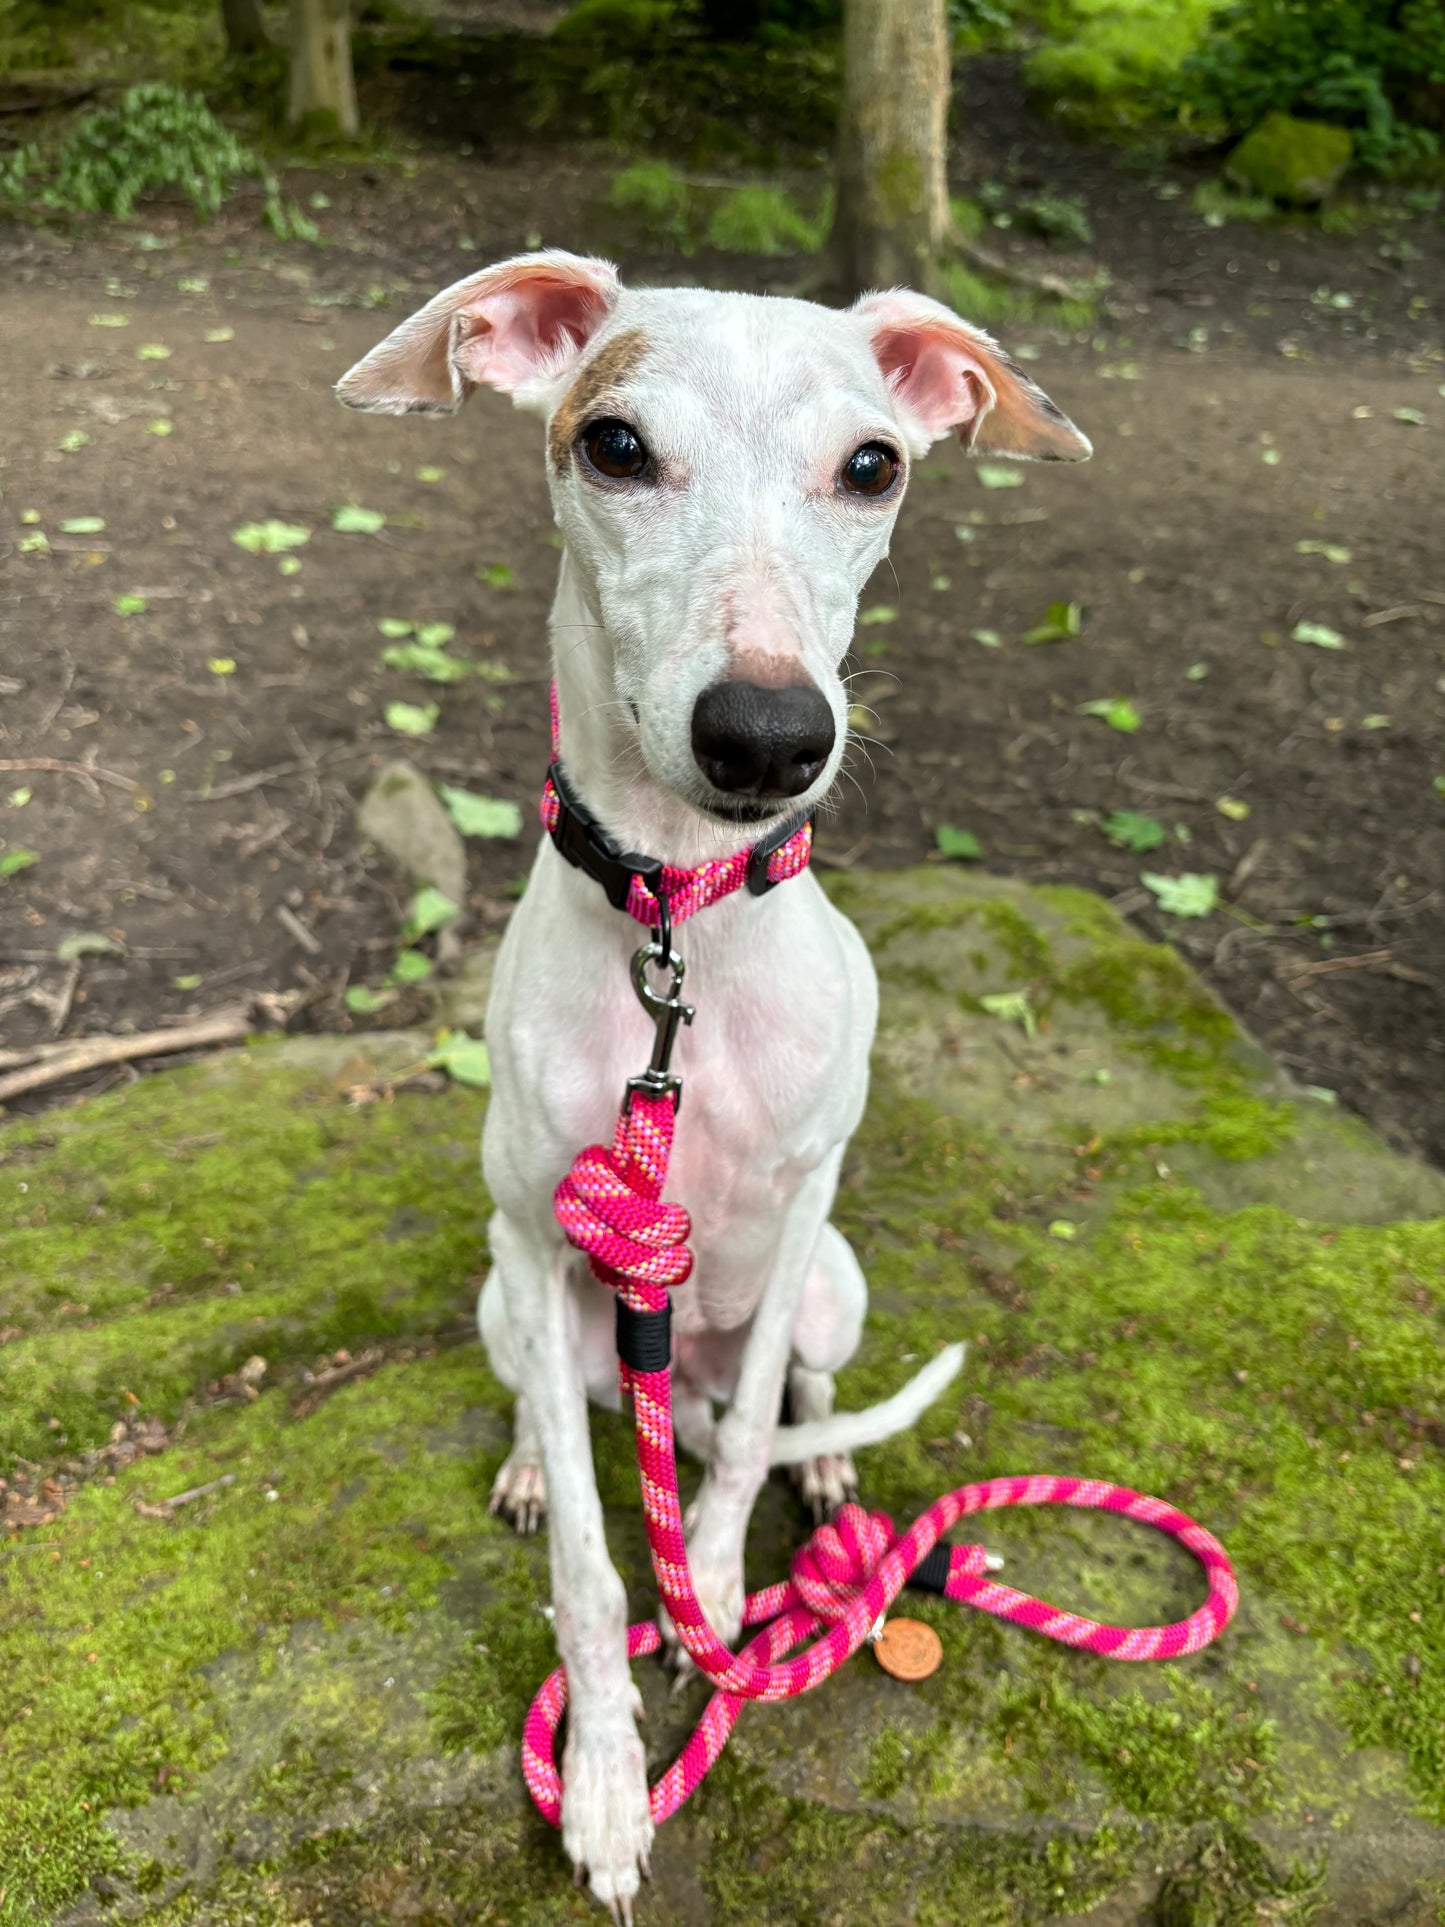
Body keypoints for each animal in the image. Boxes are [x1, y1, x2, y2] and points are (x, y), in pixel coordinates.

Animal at [337, 252, 1086, 1911]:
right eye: (614, 444)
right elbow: (585, 1562)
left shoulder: (808, 1195)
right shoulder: (538, 1233)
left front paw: (724, 1604)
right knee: (548, 1398)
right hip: (505, 1294)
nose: (765, 736)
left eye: (872, 466)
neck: (680, 929)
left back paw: (817, 1482)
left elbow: (743, 1444)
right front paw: (612, 1774)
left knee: (782, 1381)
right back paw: (538, 1461)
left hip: (837, 1281)